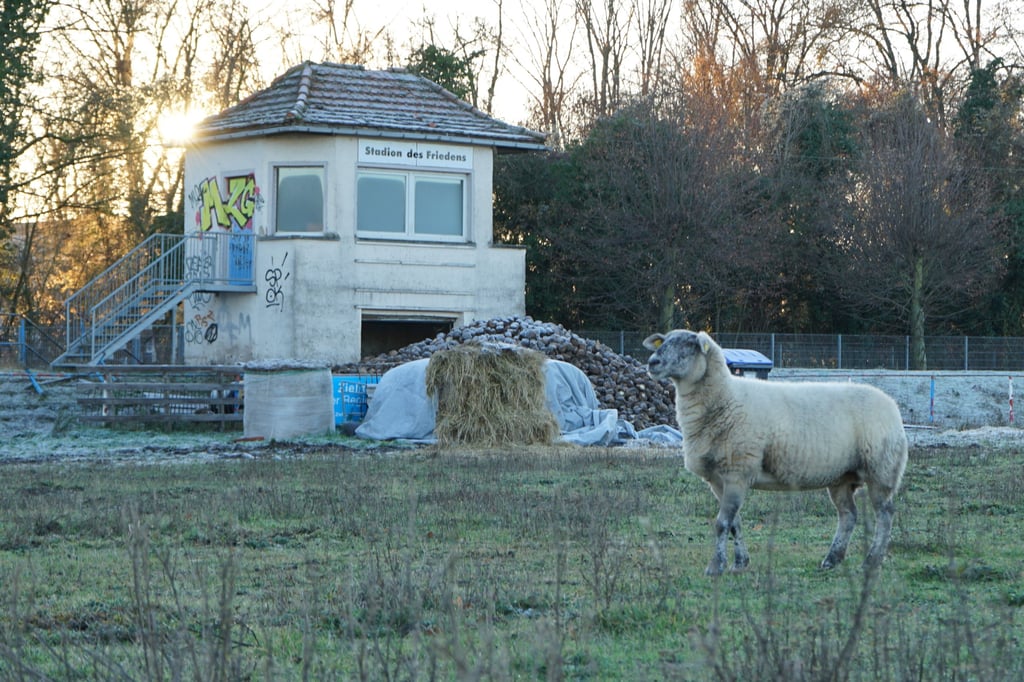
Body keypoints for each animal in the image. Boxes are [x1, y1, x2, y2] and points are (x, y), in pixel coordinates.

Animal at [644, 329, 908, 576]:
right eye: (663, 341)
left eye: (689, 345)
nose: (652, 362)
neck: (726, 397)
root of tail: (892, 405)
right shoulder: (718, 480)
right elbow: (735, 523)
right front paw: (740, 563)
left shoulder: (738, 471)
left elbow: (722, 523)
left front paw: (715, 567)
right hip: (842, 477)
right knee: (848, 515)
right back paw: (832, 560)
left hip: (881, 469)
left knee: (885, 514)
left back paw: (871, 561)